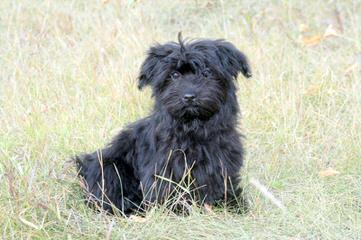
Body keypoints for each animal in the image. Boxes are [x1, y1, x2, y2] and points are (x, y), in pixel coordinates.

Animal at [75, 32, 250, 215]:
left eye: (207, 73)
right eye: (174, 75)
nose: (189, 96)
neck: (192, 128)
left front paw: (233, 204)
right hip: (108, 165)